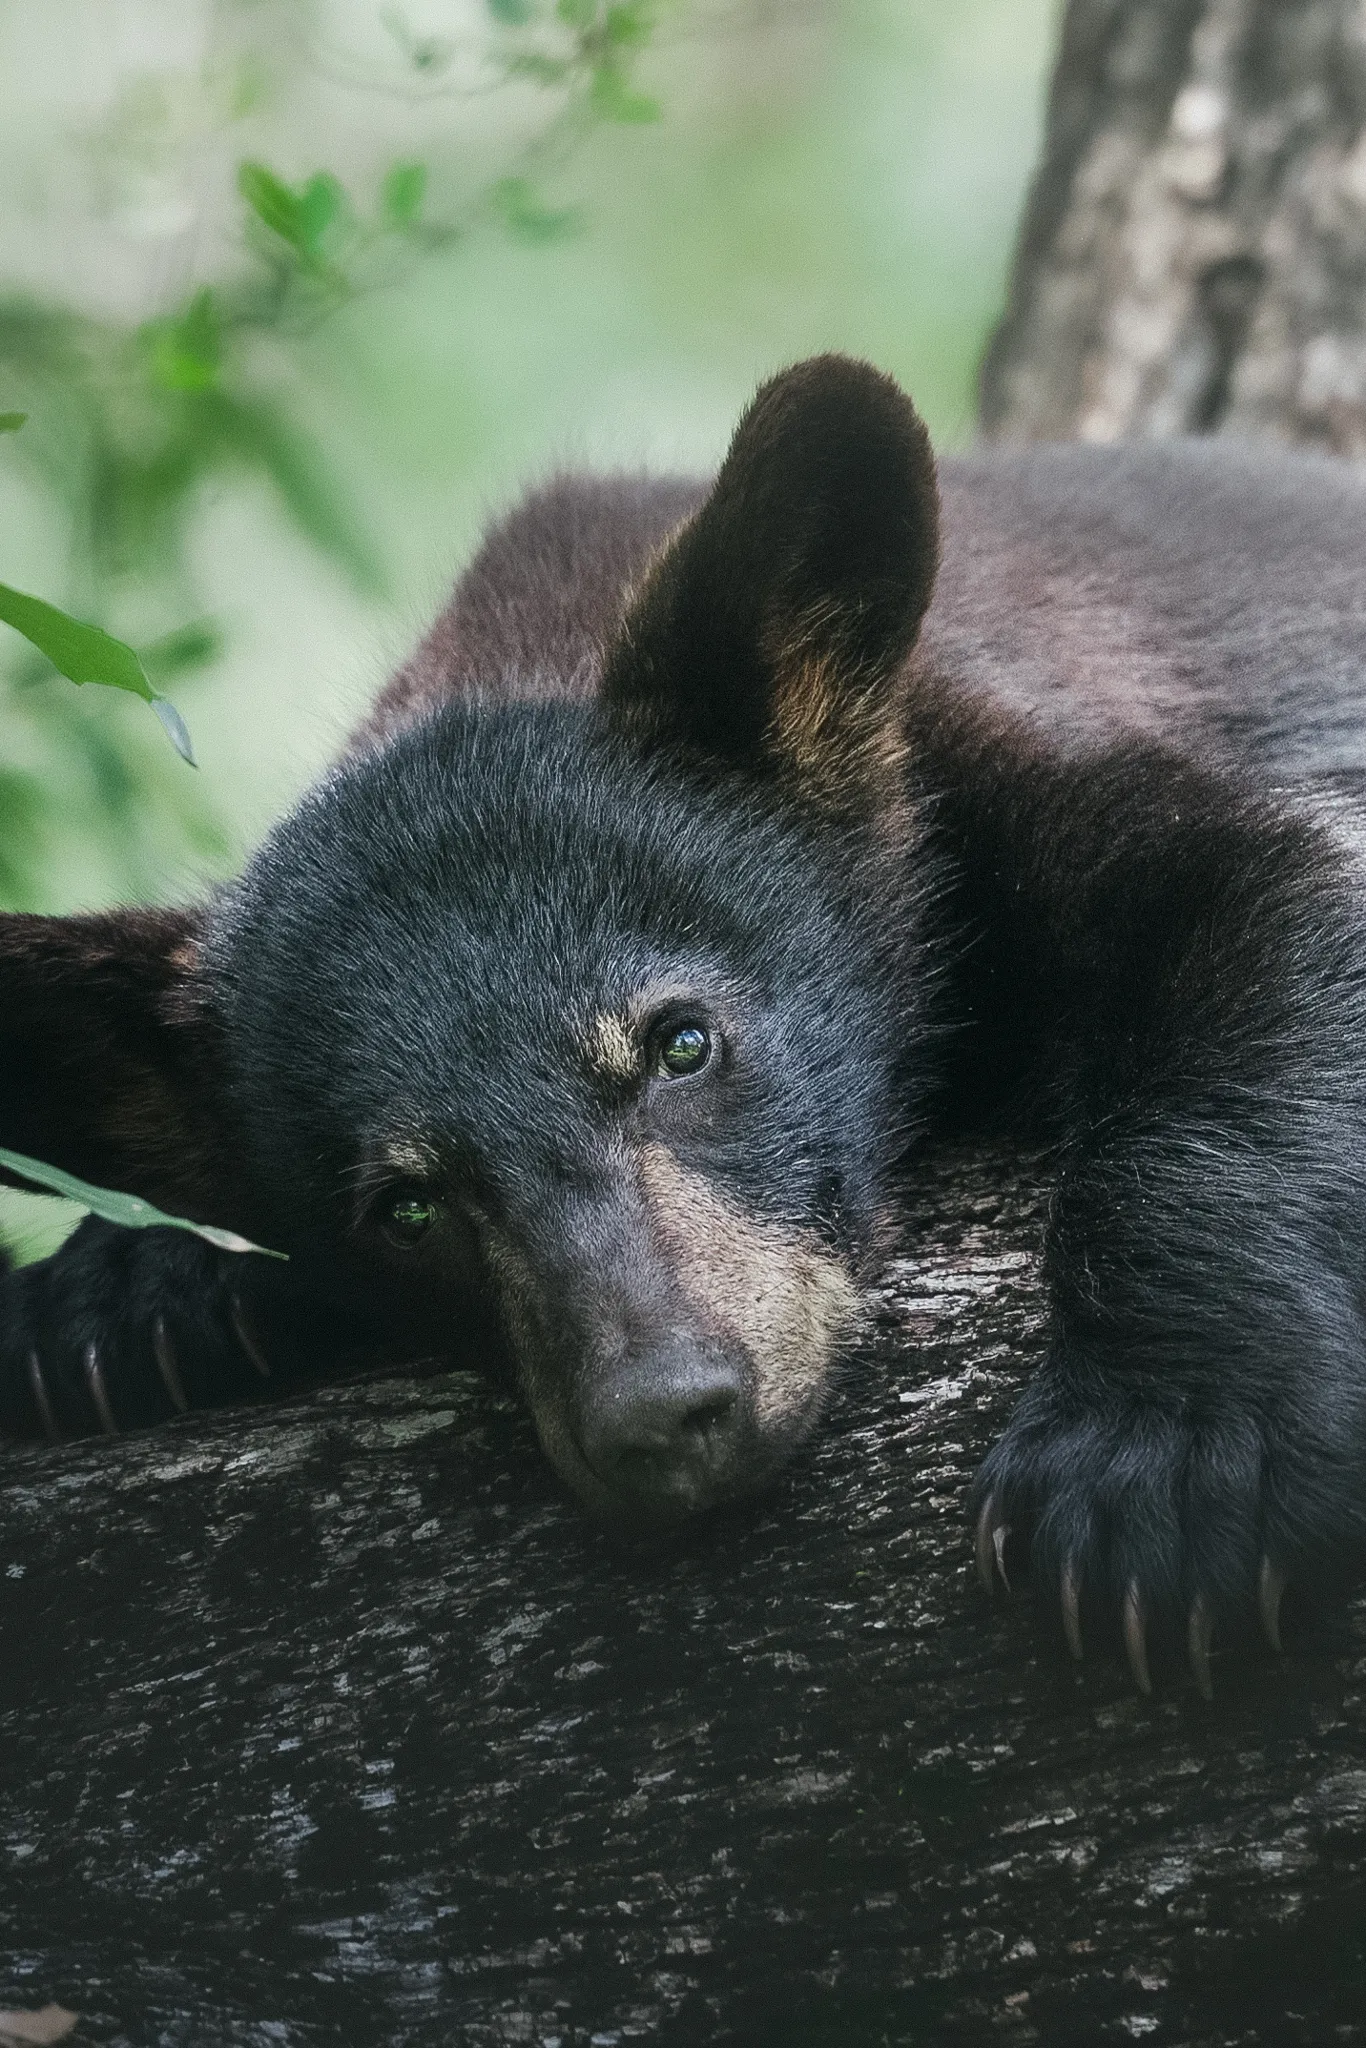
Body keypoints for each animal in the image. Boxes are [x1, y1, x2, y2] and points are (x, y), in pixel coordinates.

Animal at [4, 353, 1366, 1700]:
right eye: (404, 1205)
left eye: (681, 1042)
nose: (665, 1413)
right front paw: (111, 1288)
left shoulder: (987, 741)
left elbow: (1261, 879)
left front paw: (1164, 1461)